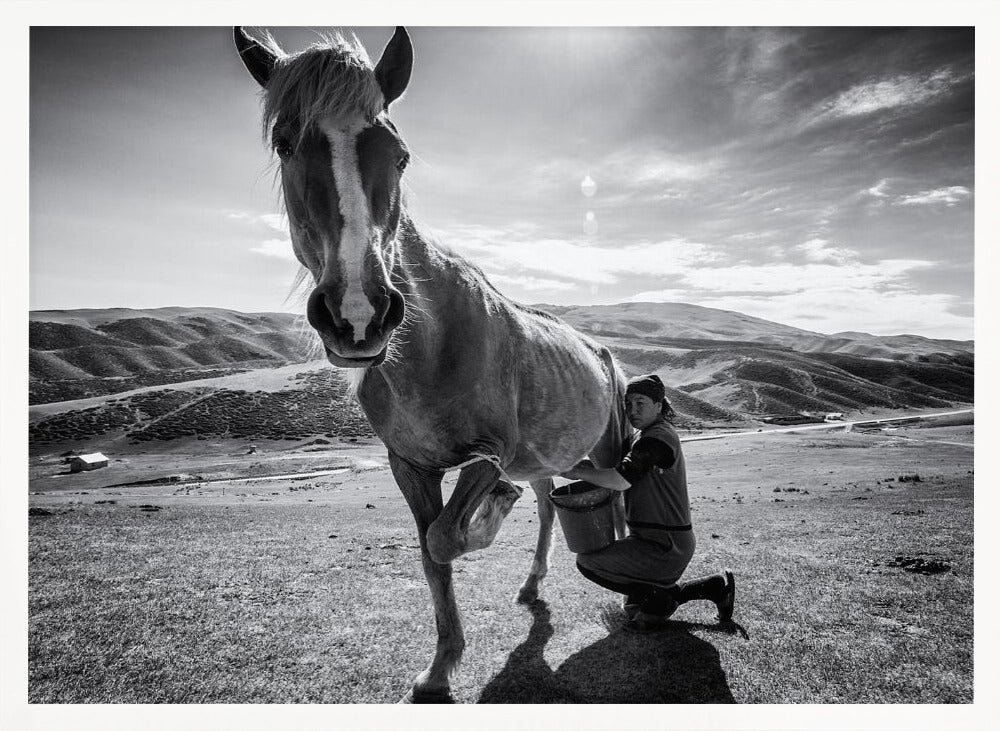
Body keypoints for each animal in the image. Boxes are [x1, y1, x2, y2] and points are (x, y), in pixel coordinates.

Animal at [234, 26, 631, 703]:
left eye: (400, 155)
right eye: (285, 144)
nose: (359, 313)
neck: (430, 347)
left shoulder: (490, 452)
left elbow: (449, 539)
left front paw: (489, 516)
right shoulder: (409, 465)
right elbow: (430, 552)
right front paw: (440, 669)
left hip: (605, 444)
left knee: (620, 499)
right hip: (545, 458)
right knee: (549, 502)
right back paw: (532, 581)